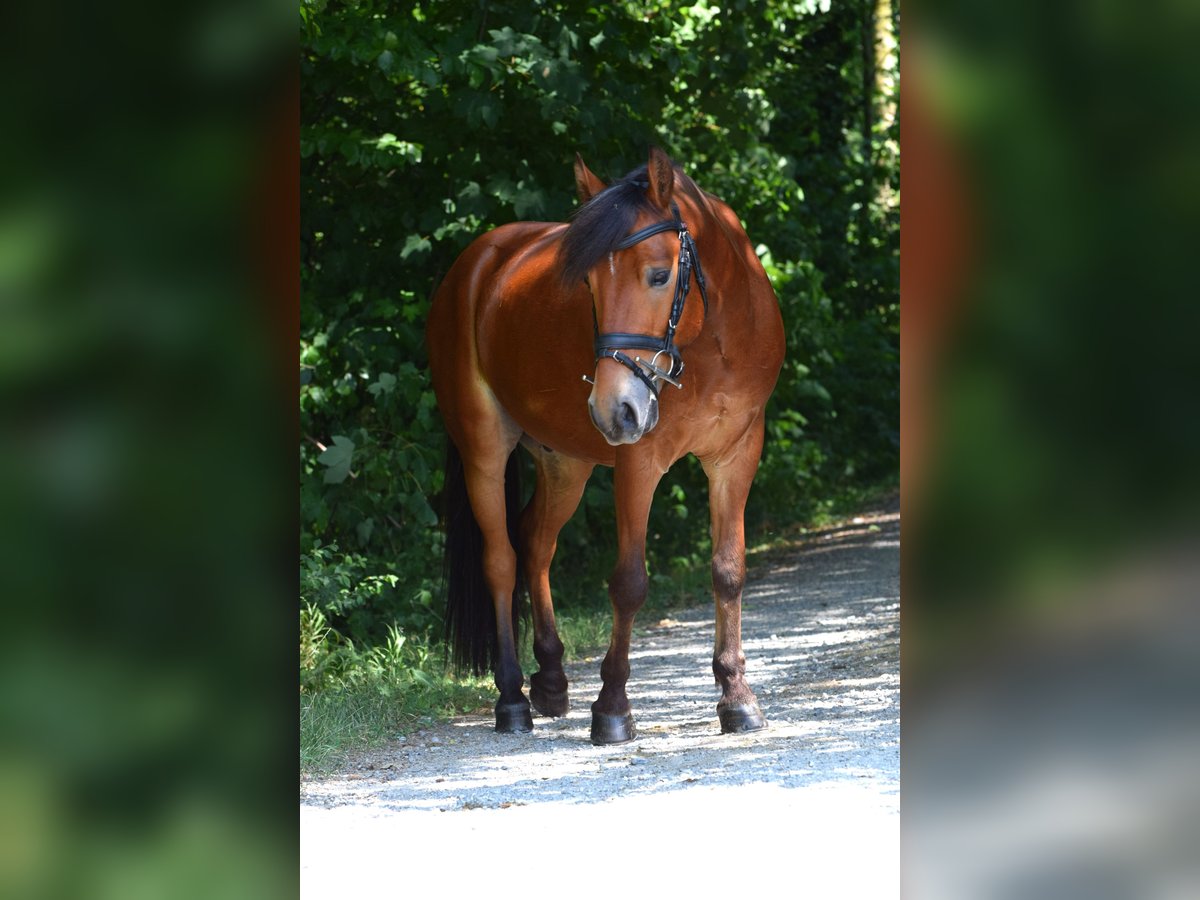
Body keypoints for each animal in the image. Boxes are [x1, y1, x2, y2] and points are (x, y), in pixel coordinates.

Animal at [424, 148, 787, 744]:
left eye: (659, 275)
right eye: (589, 287)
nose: (612, 409)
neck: (711, 341)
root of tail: (474, 264)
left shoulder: (737, 455)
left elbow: (728, 570)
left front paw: (737, 698)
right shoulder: (639, 461)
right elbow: (629, 583)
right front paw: (613, 707)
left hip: (565, 464)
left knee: (535, 542)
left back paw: (550, 680)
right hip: (484, 449)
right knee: (501, 559)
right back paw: (512, 699)